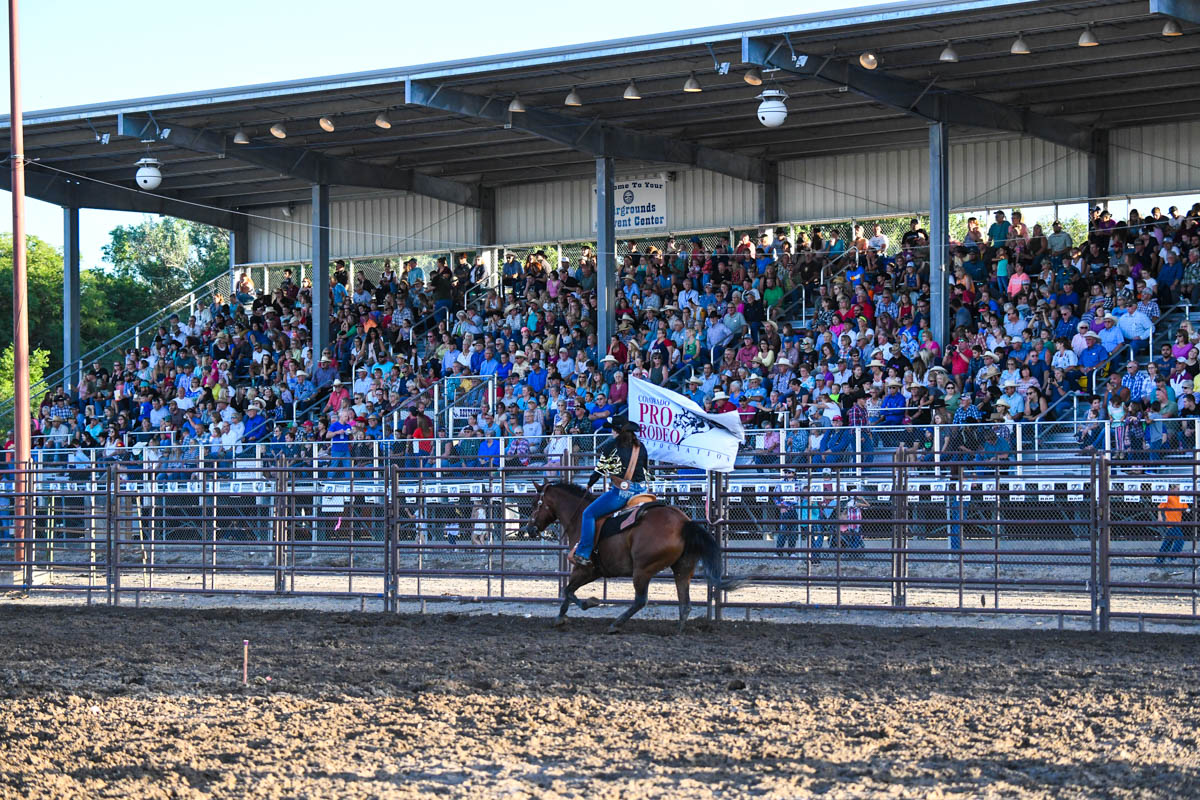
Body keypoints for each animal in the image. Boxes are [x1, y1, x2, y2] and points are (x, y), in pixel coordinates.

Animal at [525, 482, 739, 633]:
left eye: (536, 504)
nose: (529, 529)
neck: (579, 517)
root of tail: (684, 523)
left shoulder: (585, 569)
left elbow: (568, 590)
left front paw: (589, 602)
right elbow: (568, 591)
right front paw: (560, 618)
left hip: (643, 570)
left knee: (640, 600)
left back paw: (616, 624)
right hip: (683, 568)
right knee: (684, 603)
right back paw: (678, 630)